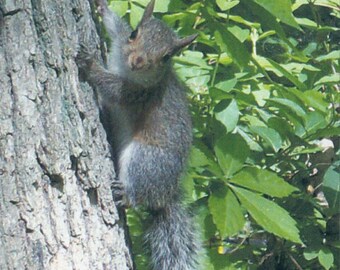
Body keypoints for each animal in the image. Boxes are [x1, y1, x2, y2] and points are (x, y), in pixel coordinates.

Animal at [76, 0, 199, 270]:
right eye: (134, 34)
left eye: (166, 57)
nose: (138, 61)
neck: (128, 71)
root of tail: (165, 196)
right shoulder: (120, 40)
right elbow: (116, 26)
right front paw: (101, 7)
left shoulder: (137, 93)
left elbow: (112, 88)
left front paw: (90, 65)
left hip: (145, 159)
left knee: (138, 192)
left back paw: (126, 194)